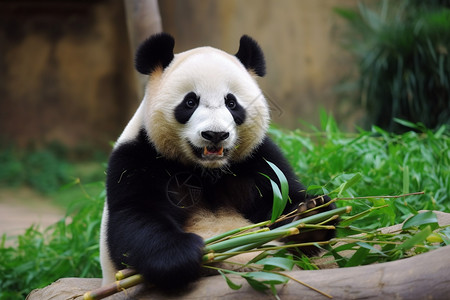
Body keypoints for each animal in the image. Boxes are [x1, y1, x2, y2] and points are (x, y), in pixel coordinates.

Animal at [100, 32, 336, 290]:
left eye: (231, 103)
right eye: (190, 102)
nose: (215, 134)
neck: (207, 171)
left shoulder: (258, 159)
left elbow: (280, 198)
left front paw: (311, 217)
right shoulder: (137, 157)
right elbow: (134, 216)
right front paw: (180, 254)